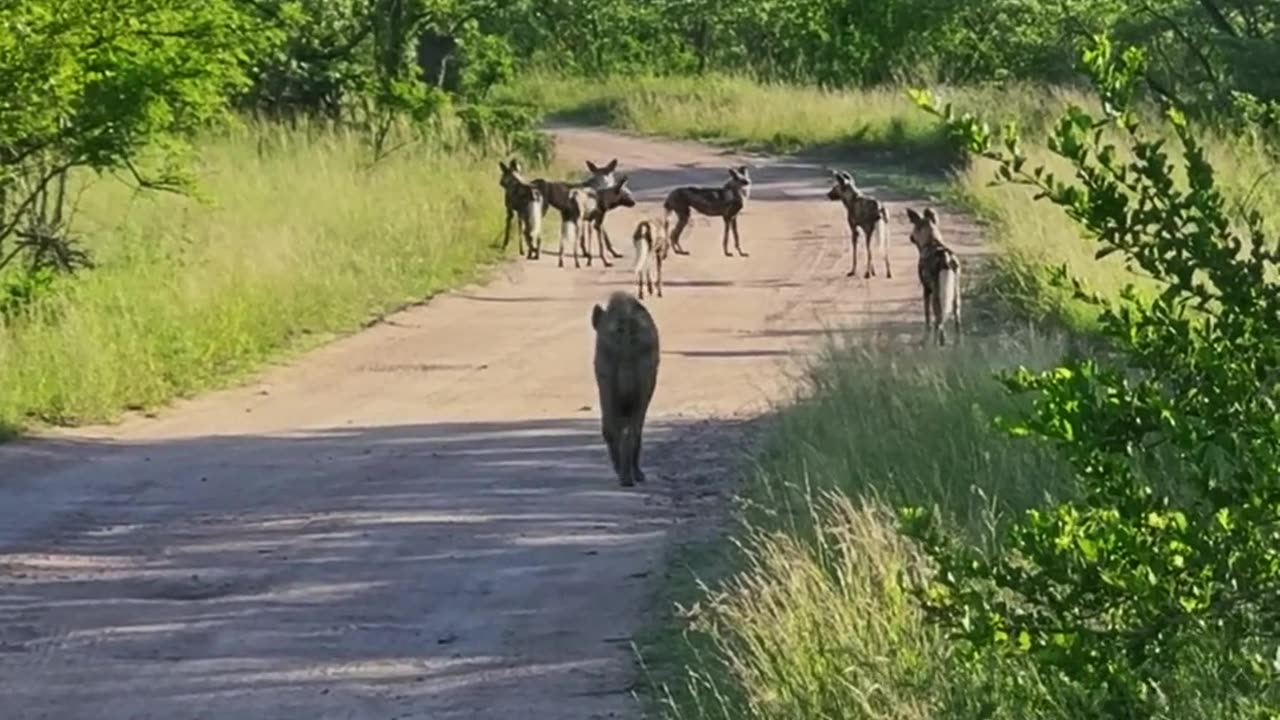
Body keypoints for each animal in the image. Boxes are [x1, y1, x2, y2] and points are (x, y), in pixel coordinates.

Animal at [906, 206, 962, 345]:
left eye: (914, 228)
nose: (910, 237)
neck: (932, 240)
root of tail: (946, 258)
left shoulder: (926, 289)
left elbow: (927, 316)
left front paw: (927, 331)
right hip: (956, 294)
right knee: (957, 319)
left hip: (936, 296)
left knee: (939, 322)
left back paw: (938, 343)